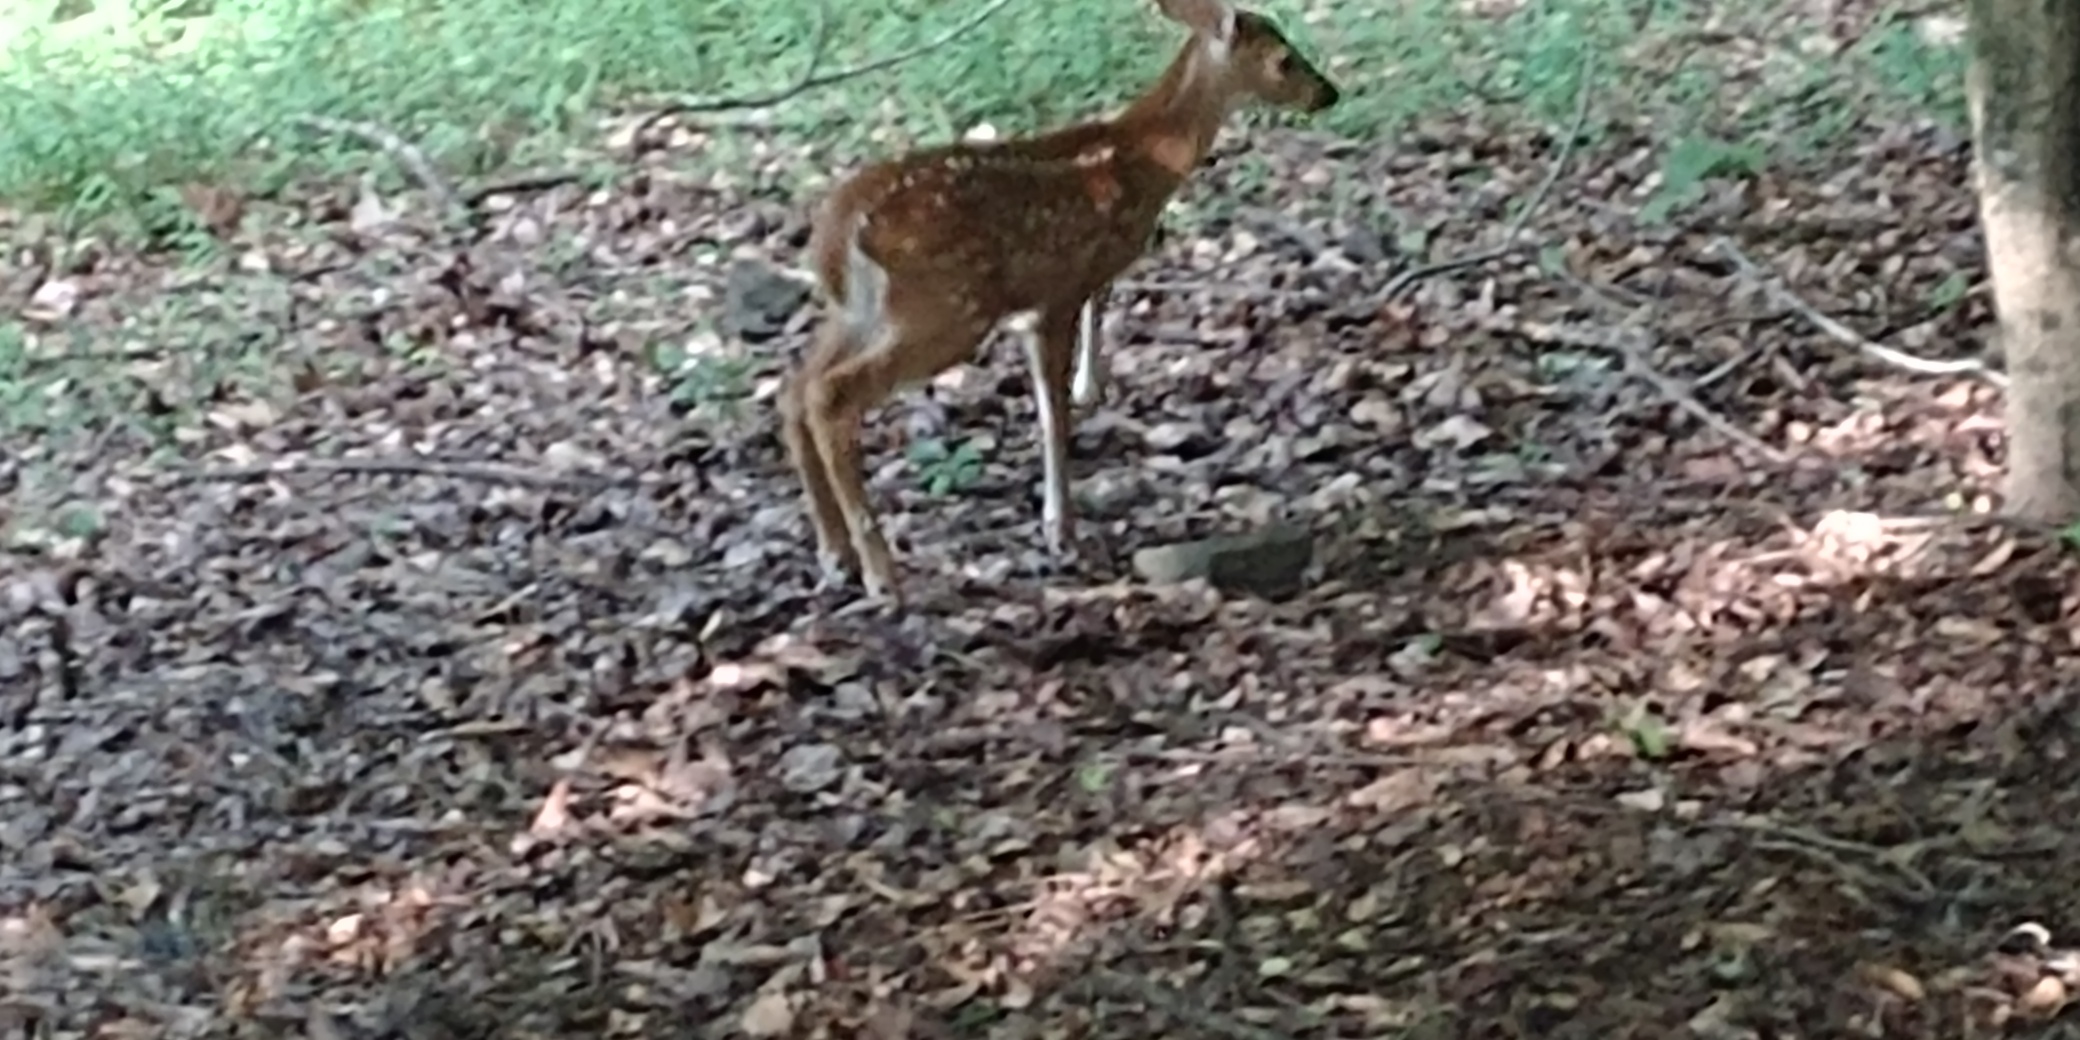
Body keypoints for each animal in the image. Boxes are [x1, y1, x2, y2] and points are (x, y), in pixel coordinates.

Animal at [777, 0, 1340, 608]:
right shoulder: (1057, 292)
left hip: (858, 313)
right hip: (945, 308)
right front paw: (1060, 531)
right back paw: (881, 574)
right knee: (830, 395)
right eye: (1285, 59)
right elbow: (1053, 416)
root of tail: (834, 239)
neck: (1145, 156)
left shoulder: (1072, 284)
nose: (1327, 94)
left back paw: (834, 554)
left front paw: (1090, 392)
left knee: (796, 387)